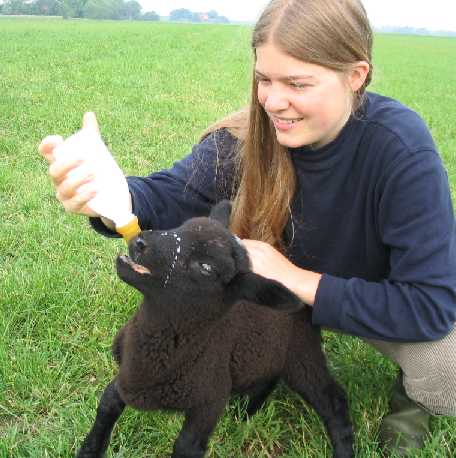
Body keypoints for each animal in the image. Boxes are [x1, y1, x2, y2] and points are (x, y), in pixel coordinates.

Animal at [76, 200, 354, 458]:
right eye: (181, 226)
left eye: (206, 268)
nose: (139, 242)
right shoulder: (128, 375)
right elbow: (108, 403)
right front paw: (89, 450)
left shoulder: (210, 401)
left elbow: (186, 447)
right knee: (268, 377)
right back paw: (244, 413)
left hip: (302, 354)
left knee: (334, 401)